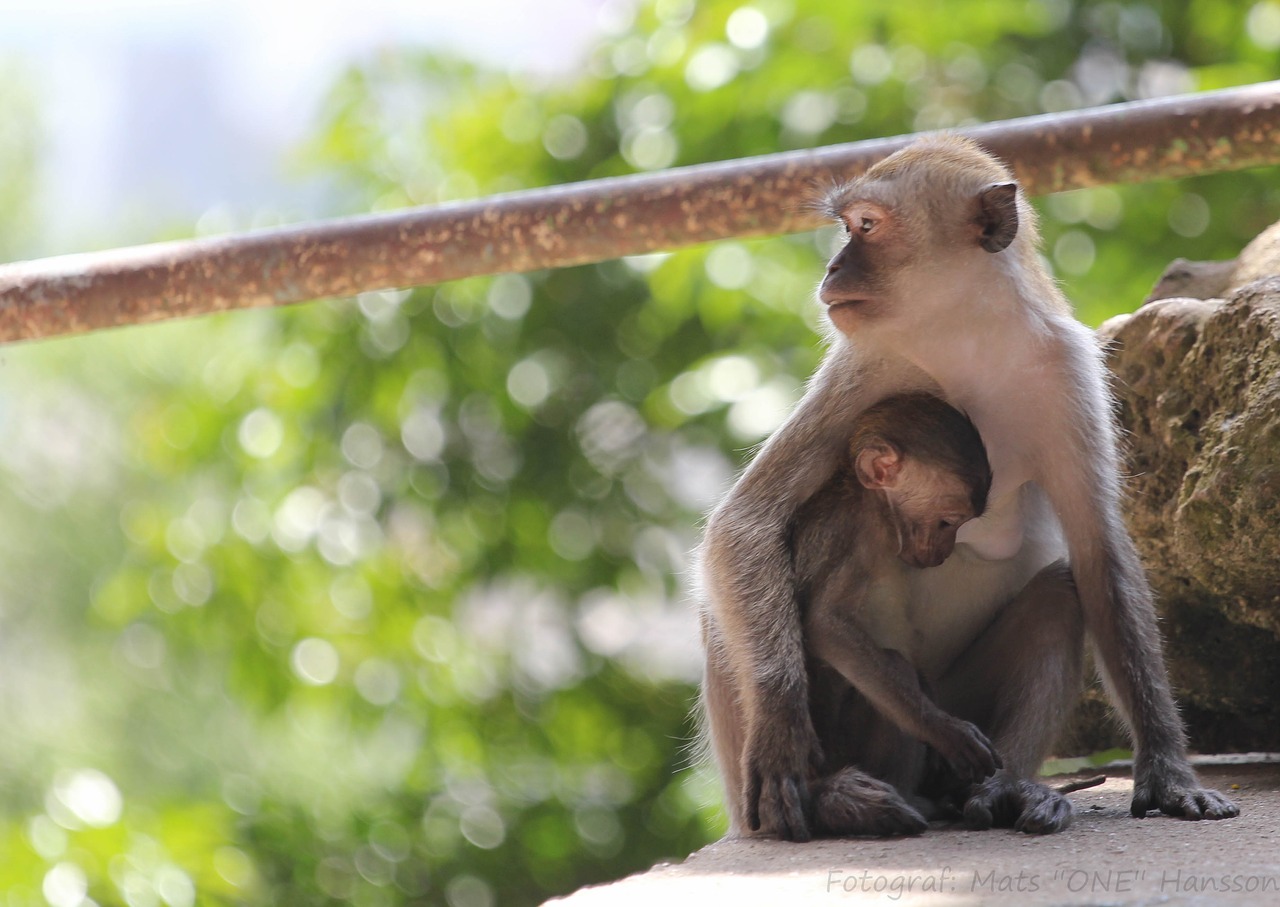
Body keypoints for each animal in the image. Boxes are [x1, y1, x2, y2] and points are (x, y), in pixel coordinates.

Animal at [788, 391, 1008, 834]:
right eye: (947, 522)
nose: (943, 554)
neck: (868, 502)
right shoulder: (854, 530)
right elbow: (824, 625)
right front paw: (943, 730)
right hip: (843, 748)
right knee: (894, 664)